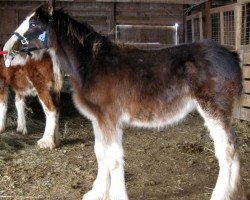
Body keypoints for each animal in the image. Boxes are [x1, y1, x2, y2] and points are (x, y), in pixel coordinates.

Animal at [1, 0, 245, 199]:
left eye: (34, 24)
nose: (6, 49)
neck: (93, 64)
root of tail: (231, 55)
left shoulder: (109, 120)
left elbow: (114, 158)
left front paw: (116, 194)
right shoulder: (98, 120)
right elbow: (100, 154)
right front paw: (97, 192)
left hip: (214, 111)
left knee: (226, 151)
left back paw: (220, 194)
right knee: (233, 147)